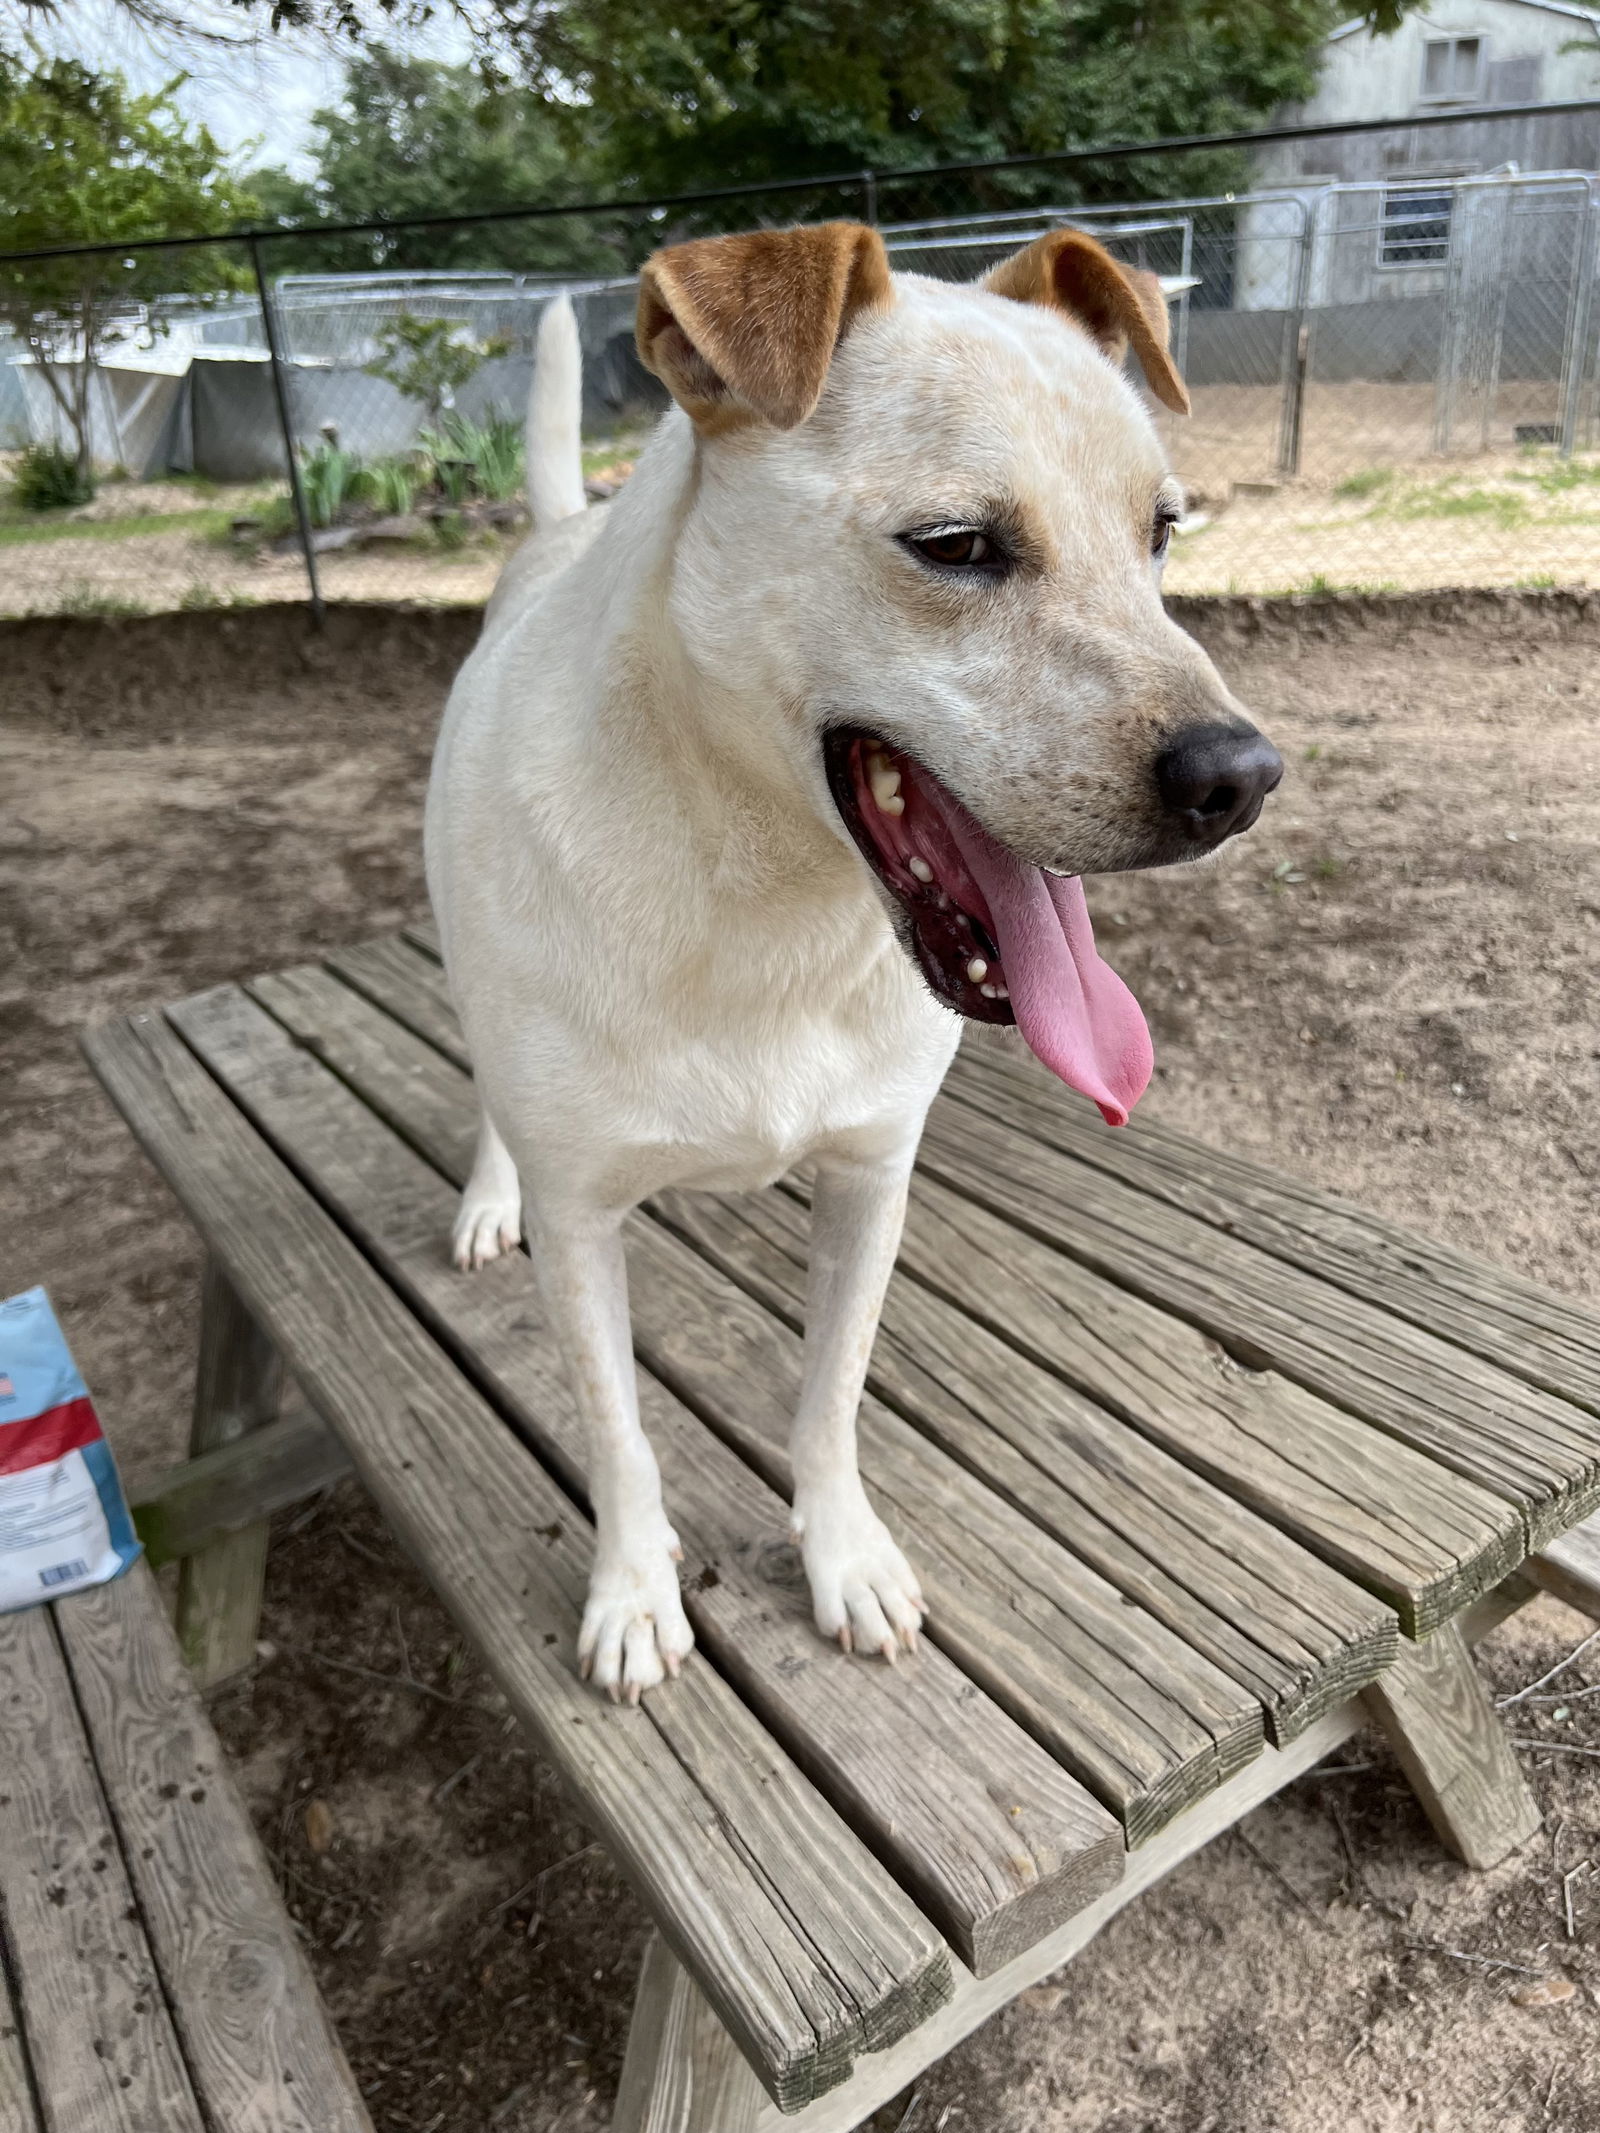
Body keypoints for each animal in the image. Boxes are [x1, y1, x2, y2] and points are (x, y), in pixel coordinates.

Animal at [428, 225, 1288, 1706]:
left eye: (1162, 532)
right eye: (955, 547)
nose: (1239, 779)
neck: (762, 897)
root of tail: (551, 533)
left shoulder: (872, 1178)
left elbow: (827, 1396)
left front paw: (843, 1558)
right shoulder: (585, 1220)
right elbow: (617, 1433)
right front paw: (632, 1592)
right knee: (491, 1101)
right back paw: (489, 1197)